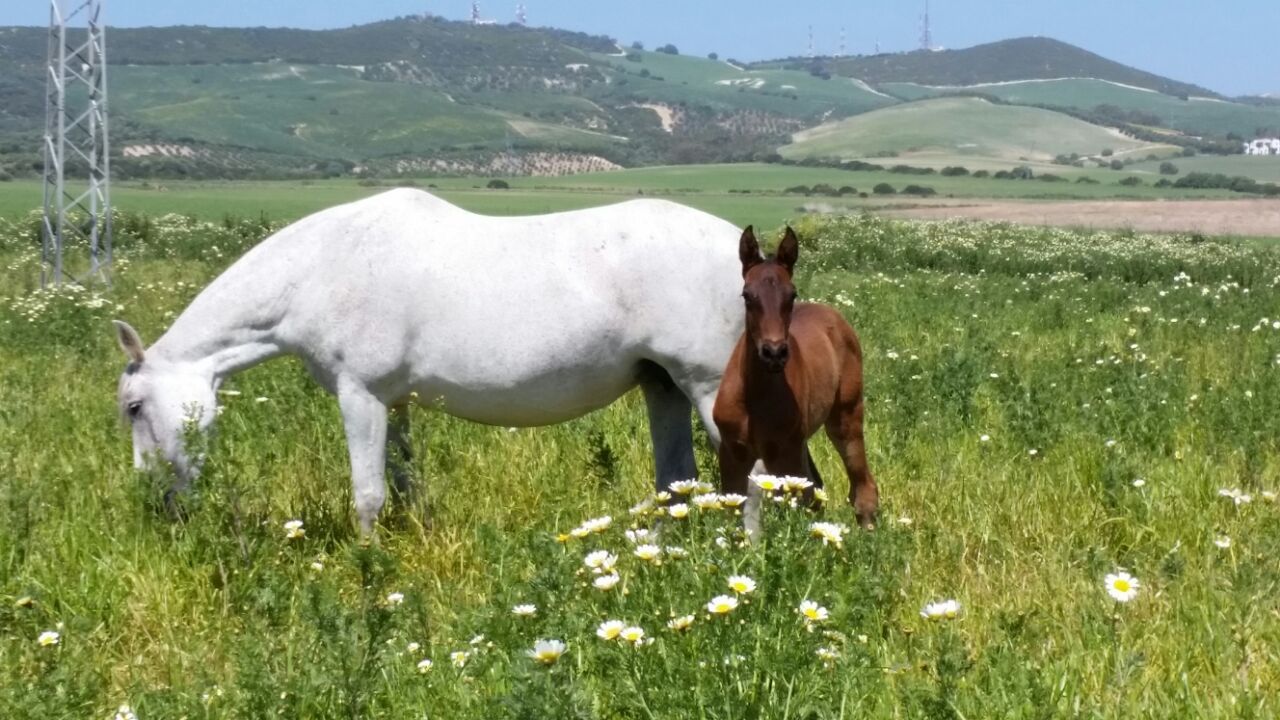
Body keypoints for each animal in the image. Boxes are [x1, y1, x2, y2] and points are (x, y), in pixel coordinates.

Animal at [117, 188, 747, 530]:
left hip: (707, 388)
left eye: (133, 407)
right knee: (677, 481)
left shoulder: (360, 395)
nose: (155, 499)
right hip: (662, 386)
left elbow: (368, 497)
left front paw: (370, 573)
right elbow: (405, 486)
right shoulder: (393, 404)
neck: (322, 269)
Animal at [711, 225, 880, 527]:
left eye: (791, 294)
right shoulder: (733, 453)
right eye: (747, 295)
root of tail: (833, 315)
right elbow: (730, 511)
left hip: (845, 418)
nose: (774, 353)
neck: (753, 396)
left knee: (860, 480)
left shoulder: (783, 455)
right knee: (817, 489)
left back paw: (868, 526)